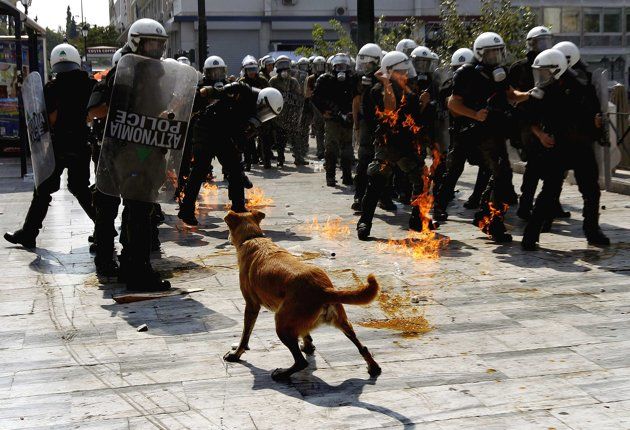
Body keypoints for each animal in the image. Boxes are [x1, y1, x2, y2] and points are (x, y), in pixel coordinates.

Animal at [225, 210, 382, 382]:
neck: (253, 237)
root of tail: (323, 289)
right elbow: (305, 333)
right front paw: (308, 346)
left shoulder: (252, 305)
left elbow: (245, 335)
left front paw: (236, 354)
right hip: (341, 321)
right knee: (362, 346)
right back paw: (373, 367)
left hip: (282, 324)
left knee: (301, 362)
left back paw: (282, 374)